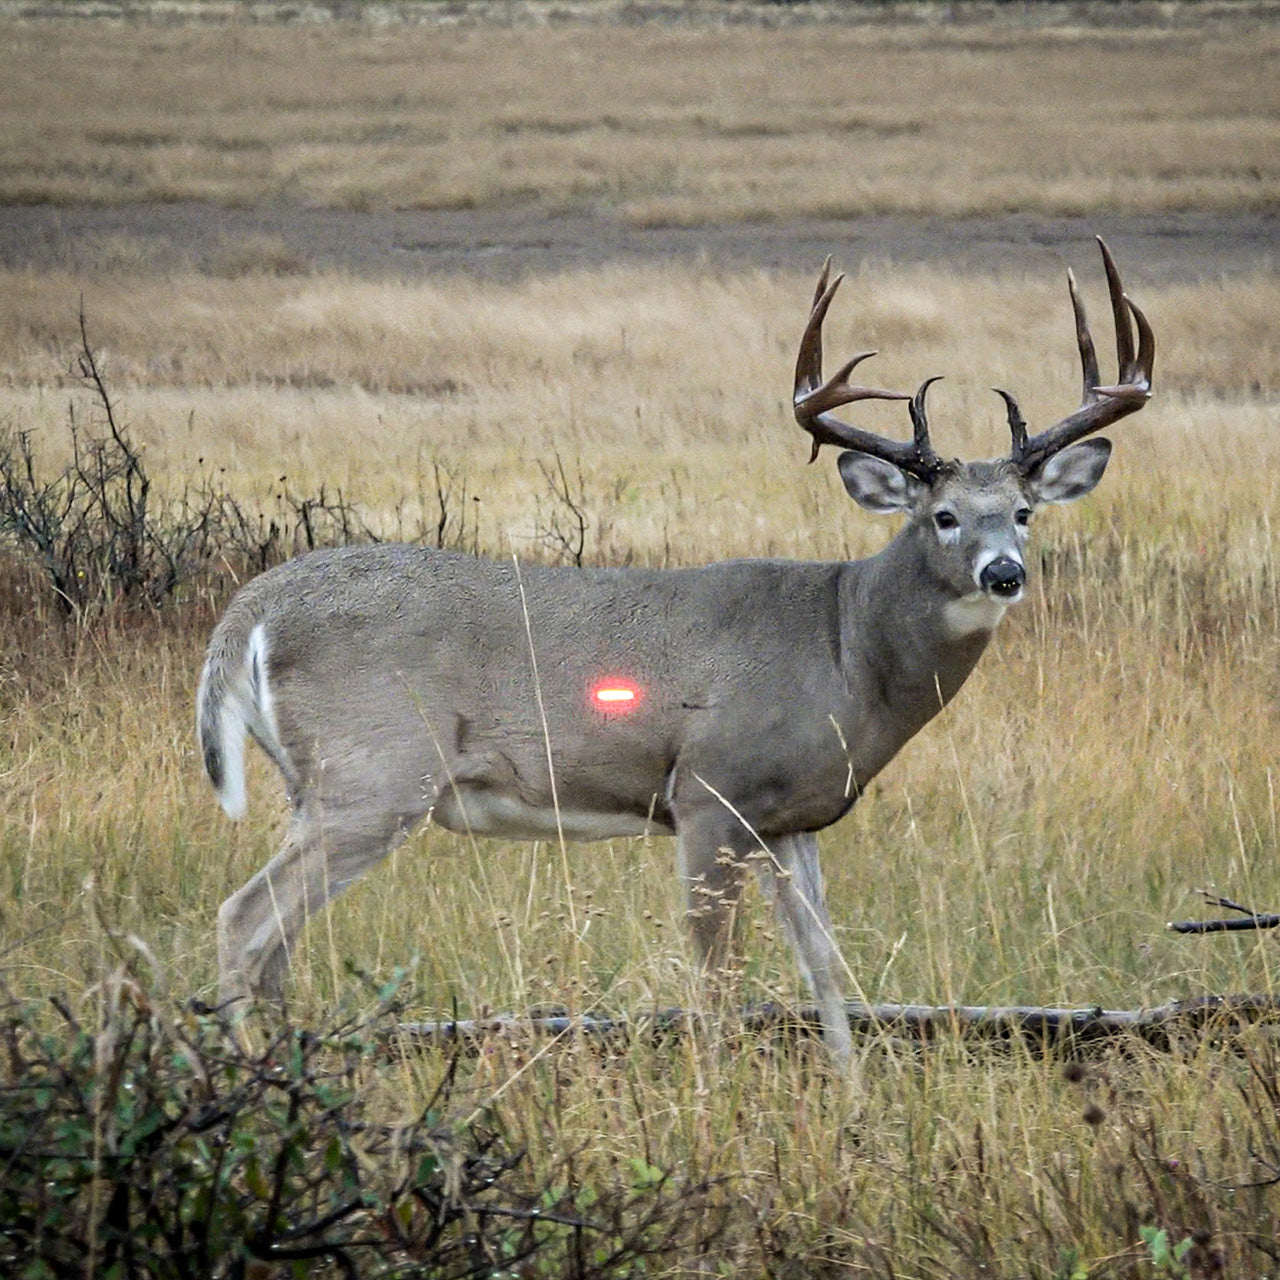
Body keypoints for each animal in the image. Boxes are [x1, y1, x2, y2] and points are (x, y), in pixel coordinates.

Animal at [198, 237, 1154, 1067]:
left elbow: (825, 968)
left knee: (275, 940)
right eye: (943, 515)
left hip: (324, 786)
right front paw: (719, 1093)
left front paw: (850, 1097)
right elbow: (715, 984)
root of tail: (247, 613)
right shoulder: (706, 793)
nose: (1004, 573)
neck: (844, 648)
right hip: (375, 774)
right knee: (242, 919)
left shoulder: (789, 819)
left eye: (1024, 512)